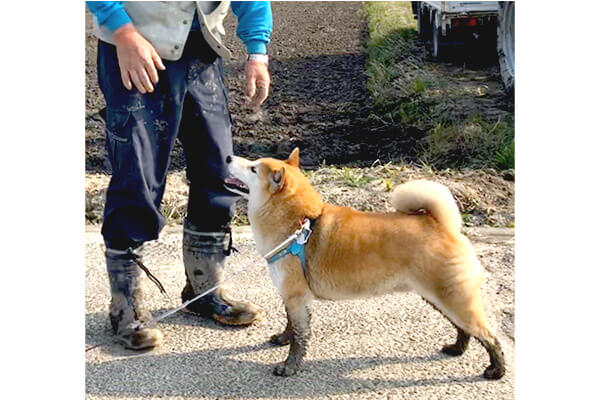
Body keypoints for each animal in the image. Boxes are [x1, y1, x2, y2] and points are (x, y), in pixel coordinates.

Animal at [225, 148, 506, 380]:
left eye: (253, 168)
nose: (227, 157)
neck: (301, 224)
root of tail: (439, 224)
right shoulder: (293, 298)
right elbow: (291, 325)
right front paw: (284, 338)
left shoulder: (296, 297)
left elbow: (300, 336)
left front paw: (290, 366)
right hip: (440, 297)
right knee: (464, 328)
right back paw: (457, 348)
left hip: (451, 297)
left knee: (489, 335)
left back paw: (496, 369)